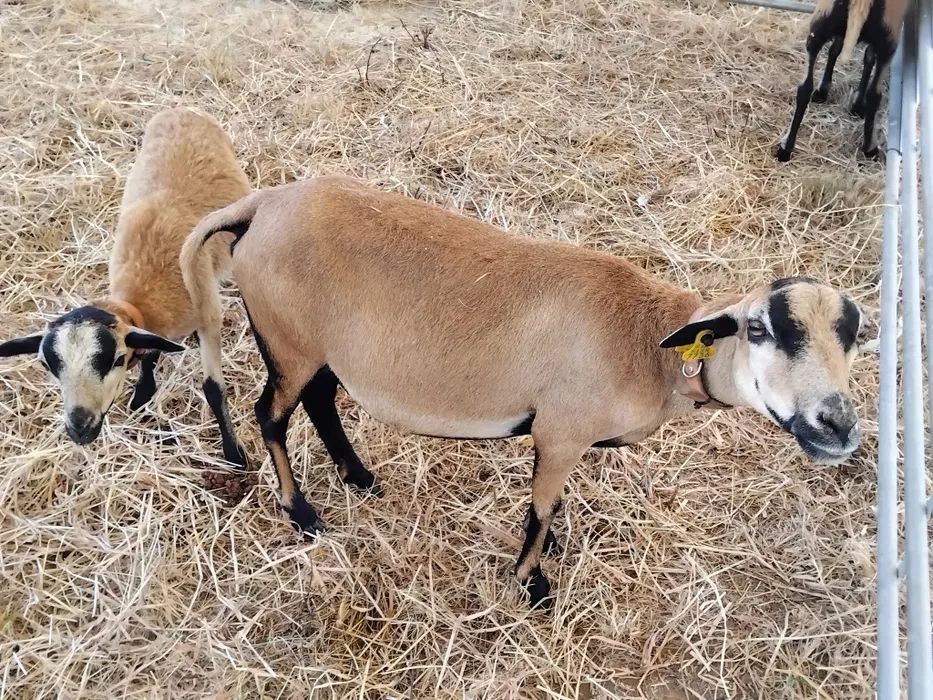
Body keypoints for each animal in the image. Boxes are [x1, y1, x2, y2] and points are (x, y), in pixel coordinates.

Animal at [1, 108, 250, 466]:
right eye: (47, 365)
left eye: (115, 359)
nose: (79, 427)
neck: (141, 296)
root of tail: (180, 109)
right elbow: (150, 353)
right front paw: (143, 393)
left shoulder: (208, 316)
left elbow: (214, 390)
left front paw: (234, 454)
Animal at [181, 176, 863, 609]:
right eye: (759, 328)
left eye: (853, 336)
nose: (836, 426)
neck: (647, 344)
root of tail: (262, 204)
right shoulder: (559, 431)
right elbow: (539, 510)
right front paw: (533, 586)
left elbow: (548, 506)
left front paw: (550, 550)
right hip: (289, 342)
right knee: (270, 415)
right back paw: (303, 515)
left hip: (320, 350)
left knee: (320, 403)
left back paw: (360, 477)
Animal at [776, 0, 908, 162]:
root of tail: (862, 2)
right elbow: (867, 58)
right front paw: (857, 104)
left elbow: (837, 49)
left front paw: (825, 91)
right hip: (888, 42)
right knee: (874, 95)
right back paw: (870, 148)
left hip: (819, 29)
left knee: (804, 88)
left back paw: (785, 148)